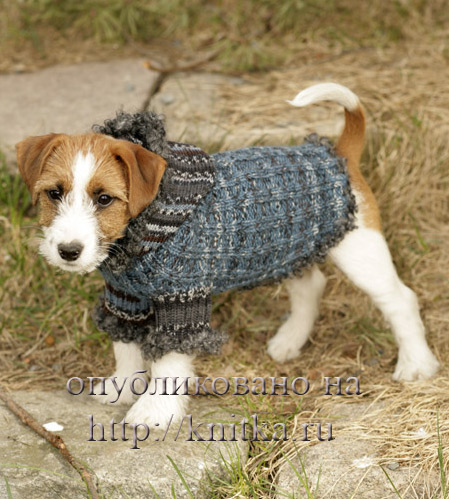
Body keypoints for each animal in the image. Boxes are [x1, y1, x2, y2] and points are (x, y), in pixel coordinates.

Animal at [16, 83, 440, 426]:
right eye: (54, 193)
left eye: (104, 198)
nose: (68, 251)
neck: (153, 220)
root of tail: (338, 155)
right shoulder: (124, 298)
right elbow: (126, 349)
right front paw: (120, 388)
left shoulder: (181, 299)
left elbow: (168, 360)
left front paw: (153, 413)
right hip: (289, 249)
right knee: (311, 286)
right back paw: (288, 342)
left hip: (361, 253)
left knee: (400, 300)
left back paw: (416, 364)